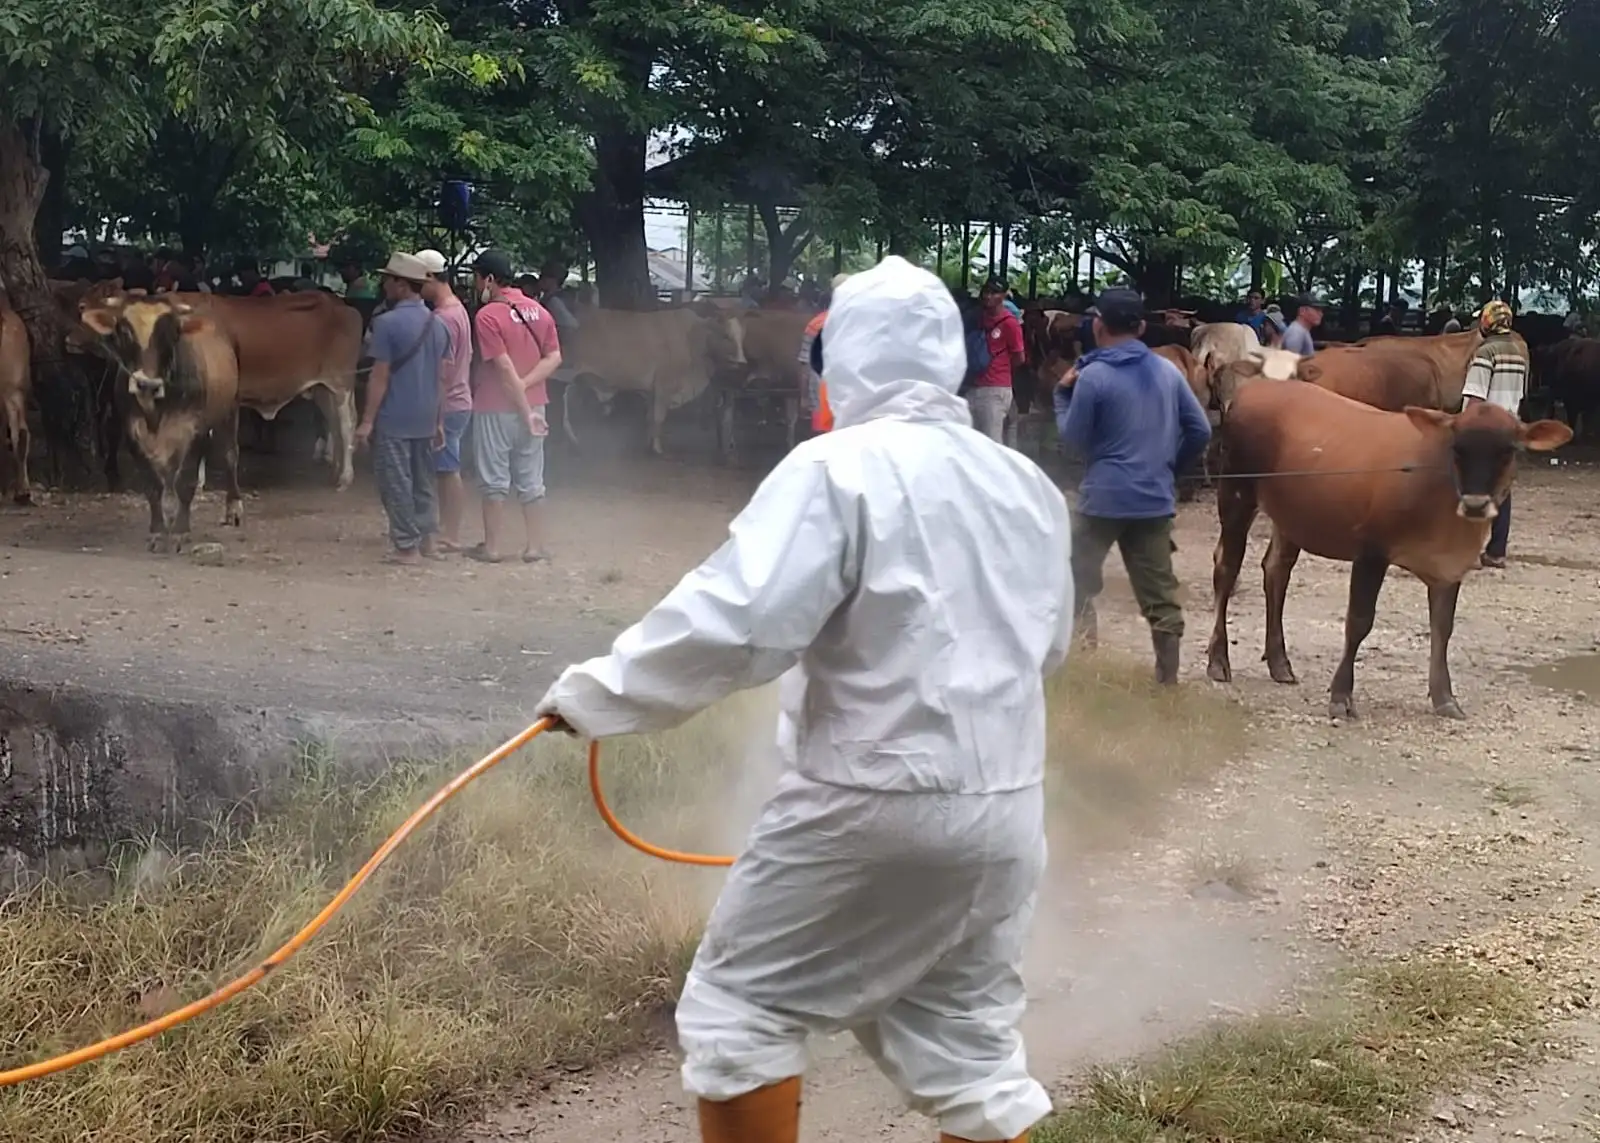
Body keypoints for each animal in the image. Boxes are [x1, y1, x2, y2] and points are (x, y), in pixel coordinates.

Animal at [80, 296, 241, 553]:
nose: (147, 384)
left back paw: (233, 507)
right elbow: (152, 486)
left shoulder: (195, 432)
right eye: (123, 332)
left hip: (230, 410)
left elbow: (187, 482)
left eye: (173, 334)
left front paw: (180, 531)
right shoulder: (132, 434)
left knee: (230, 455)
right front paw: (158, 531)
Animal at [1203, 382, 1568, 720]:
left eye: (1509, 450)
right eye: (1457, 448)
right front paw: (1341, 696)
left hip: (1291, 515)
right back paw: (1218, 660)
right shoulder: (1370, 551)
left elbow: (1442, 629)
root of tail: (1255, 387)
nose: (1477, 505)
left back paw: (1280, 663)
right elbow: (1359, 622)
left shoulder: (1449, 568)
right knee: (1226, 567)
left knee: (1276, 570)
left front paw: (1445, 698)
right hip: (1236, 494)